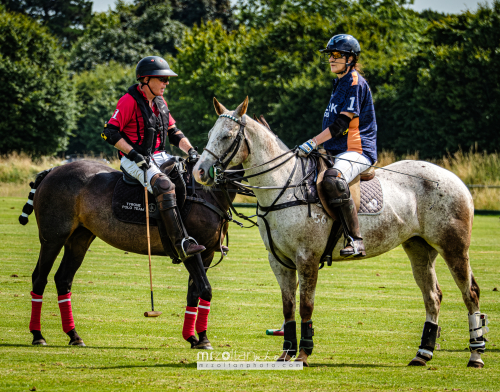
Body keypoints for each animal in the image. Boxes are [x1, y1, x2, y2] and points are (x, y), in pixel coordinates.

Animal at [193, 97, 490, 368]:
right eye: (209, 134)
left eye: (227, 136)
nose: (199, 172)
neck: (284, 187)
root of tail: (458, 182)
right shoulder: (279, 261)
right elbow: (288, 307)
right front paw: (286, 354)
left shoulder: (307, 257)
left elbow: (306, 305)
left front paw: (304, 354)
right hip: (418, 247)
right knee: (433, 296)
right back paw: (422, 354)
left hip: (453, 247)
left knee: (470, 293)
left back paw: (475, 355)